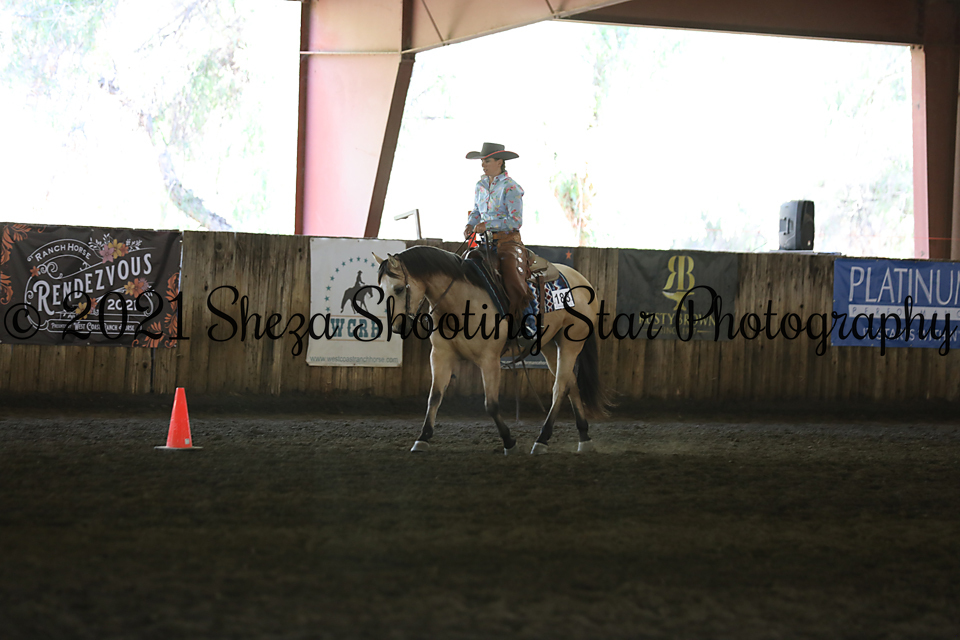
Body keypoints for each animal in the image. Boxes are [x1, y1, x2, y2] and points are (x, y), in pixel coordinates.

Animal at [376, 245, 611, 455]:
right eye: (382, 291)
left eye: (398, 289)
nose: (398, 327)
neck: (462, 300)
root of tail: (582, 280)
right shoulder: (441, 355)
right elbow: (434, 397)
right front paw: (422, 438)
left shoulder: (489, 359)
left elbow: (491, 404)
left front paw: (509, 442)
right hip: (550, 345)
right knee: (571, 384)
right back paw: (584, 438)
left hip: (571, 344)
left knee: (560, 387)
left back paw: (542, 440)